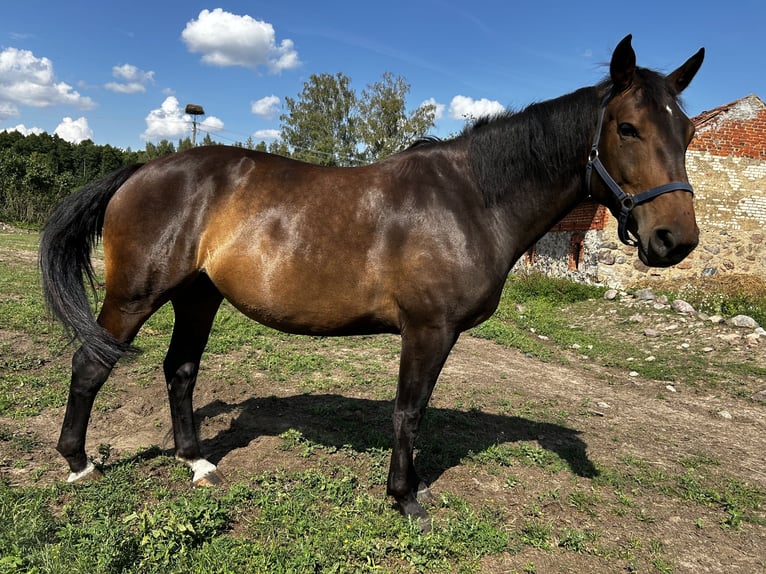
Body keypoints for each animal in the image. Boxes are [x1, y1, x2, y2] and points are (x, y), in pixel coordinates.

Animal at [39, 36, 704, 528]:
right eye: (626, 127)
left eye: (689, 132)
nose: (675, 240)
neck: (472, 199)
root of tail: (142, 169)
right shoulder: (428, 330)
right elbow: (409, 410)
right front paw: (406, 498)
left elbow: (416, 411)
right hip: (136, 296)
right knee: (90, 366)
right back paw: (78, 463)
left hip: (198, 296)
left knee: (180, 369)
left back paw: (197, 462)